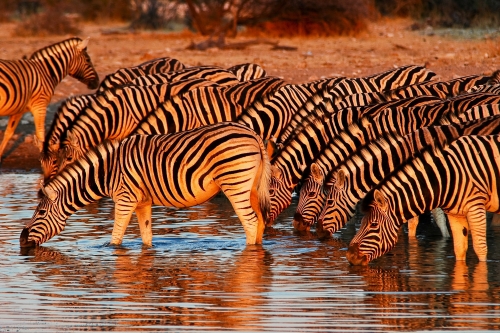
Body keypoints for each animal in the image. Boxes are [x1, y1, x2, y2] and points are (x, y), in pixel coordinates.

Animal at [20, 121, 270, 246]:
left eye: (41, 213)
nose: (21, 240)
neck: (107, 172)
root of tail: (254, 135)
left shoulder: (125, 198)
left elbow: (116, 238)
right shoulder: (142, 203)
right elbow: (146, 237)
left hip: (235, 184)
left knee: (250, 223)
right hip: (251, 188)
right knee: (259, 223)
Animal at [348, 134, 500, 264]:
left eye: (374, 225)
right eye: (362, 222)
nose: (350, 256)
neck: (445, 177)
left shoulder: (476, 207)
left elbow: (480, 249)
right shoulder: (455, 214)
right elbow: (459, 249)